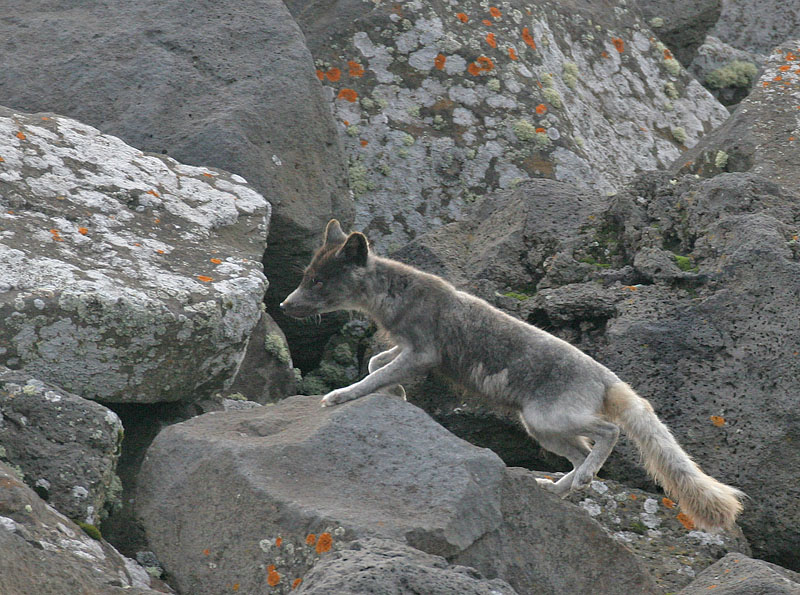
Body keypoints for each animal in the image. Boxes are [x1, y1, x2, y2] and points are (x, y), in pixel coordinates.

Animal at [280, 219, 744, 532]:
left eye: (318, 281)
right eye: (306, 277)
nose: (284, 305)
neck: (393, 295)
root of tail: (607, 377)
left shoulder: (423, 352)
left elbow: (372, 375)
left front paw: (342, 395)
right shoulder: (412, 351)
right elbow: (377, 365)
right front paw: (398, 395)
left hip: (546, 419)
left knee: (608, 433)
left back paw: (581, 478)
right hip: (543, 430)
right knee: (580, 454)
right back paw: (555, 489)